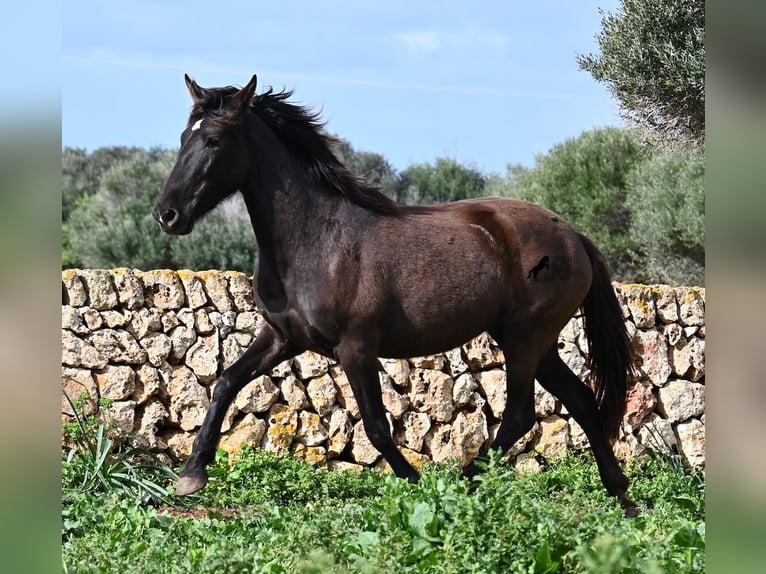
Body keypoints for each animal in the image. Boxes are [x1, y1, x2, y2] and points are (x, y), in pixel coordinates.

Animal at [153, 74, 640, 520]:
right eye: (183, 136)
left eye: (214, 140)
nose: (166, 215)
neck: (316, 241)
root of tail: (573, 236)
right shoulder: (281, 337)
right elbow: (226, 382)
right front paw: (192, 475)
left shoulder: (356, 347)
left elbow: (376, 429)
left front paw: (419, 486)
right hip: (535, 342)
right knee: (580, 400)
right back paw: (623, 497)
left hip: (525, 338)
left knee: (520, 417)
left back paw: (463, 484)